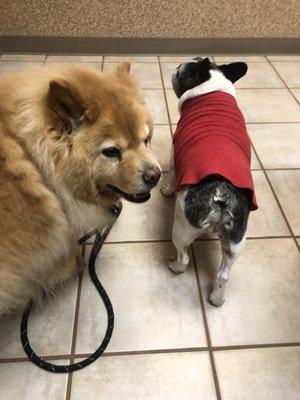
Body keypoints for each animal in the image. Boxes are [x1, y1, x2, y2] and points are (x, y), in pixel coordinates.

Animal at [162, 56, 258, 306]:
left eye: (182, 70)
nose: (176, 67)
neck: (212, 89)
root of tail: (220, 196)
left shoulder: (174, 152)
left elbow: (171, 174)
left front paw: (165, 190)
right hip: (236, 241)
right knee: (224, 275)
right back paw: (216, 298)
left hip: (181, 227)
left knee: (184, 258)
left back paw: (174, 266)